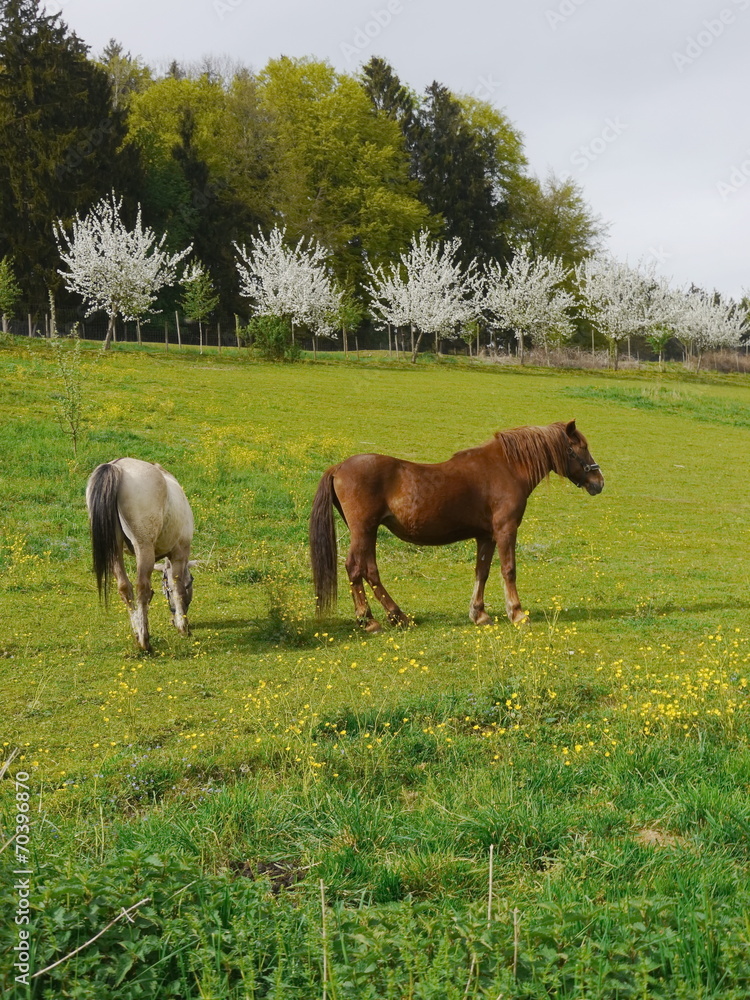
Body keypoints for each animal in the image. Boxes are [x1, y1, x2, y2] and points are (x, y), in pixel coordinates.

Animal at [86, 458, 195, 652]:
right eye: (192, 583)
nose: (173, 619)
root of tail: (118, 466)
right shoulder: (180, 553)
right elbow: (178, 588)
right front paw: (183, 627)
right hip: (144, 548)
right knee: (141, 589)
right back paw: (145, 641)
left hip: (115, 551)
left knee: (124, 588)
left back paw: (138, 635)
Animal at [309, 420, 603, 632]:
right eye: (580, 447)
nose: (599, 482)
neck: (507, 468)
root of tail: (339, 467)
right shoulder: (506, 530)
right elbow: (508, 570)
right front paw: (517, 613)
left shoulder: (486, 536)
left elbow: (482, 572)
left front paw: (479, 613)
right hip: (364, 530)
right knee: (355, 568)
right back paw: (369, 620)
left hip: (368, 532)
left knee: (369, 571)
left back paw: (397, 616)